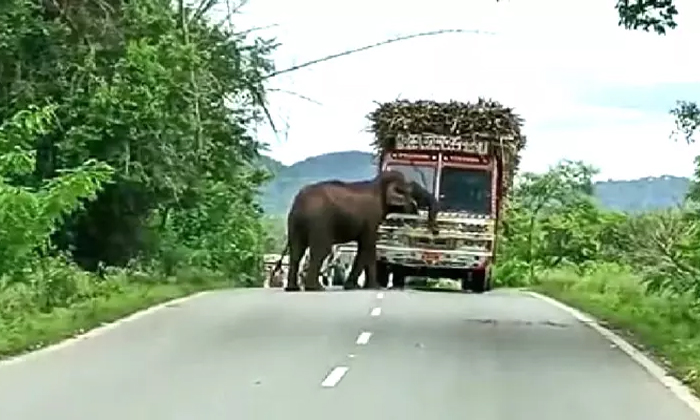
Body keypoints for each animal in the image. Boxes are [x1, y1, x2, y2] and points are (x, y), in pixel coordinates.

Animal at [280, 170, 416, 292]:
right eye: (408, 192)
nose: (415, 208)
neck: (378, 185)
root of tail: (299, 202)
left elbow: (366, 247)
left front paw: (355, 286)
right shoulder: (371, 217)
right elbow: (368, 247)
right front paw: (372, 287)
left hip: (295, 222)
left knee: (296, 252)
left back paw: (292, 288)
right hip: (319, 222)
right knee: (321, 250)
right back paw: (315, 288)